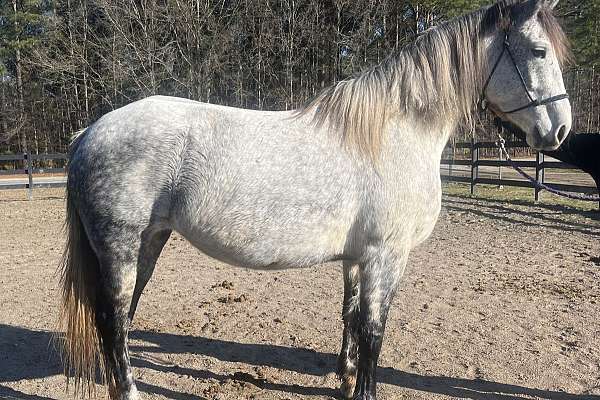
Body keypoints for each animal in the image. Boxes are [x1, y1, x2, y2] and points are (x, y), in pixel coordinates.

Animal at [59, 1, 572, 398]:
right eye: (539, 51)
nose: (560, 131)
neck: (394, 132)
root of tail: (89, 132)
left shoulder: (357, 257)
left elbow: (351, 317)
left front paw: (345, 378)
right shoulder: (386, 255)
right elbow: (374, 330)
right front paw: (363, 390)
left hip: (149, 241)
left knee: (122, 320)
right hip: (120, 246)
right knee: (111, 320)